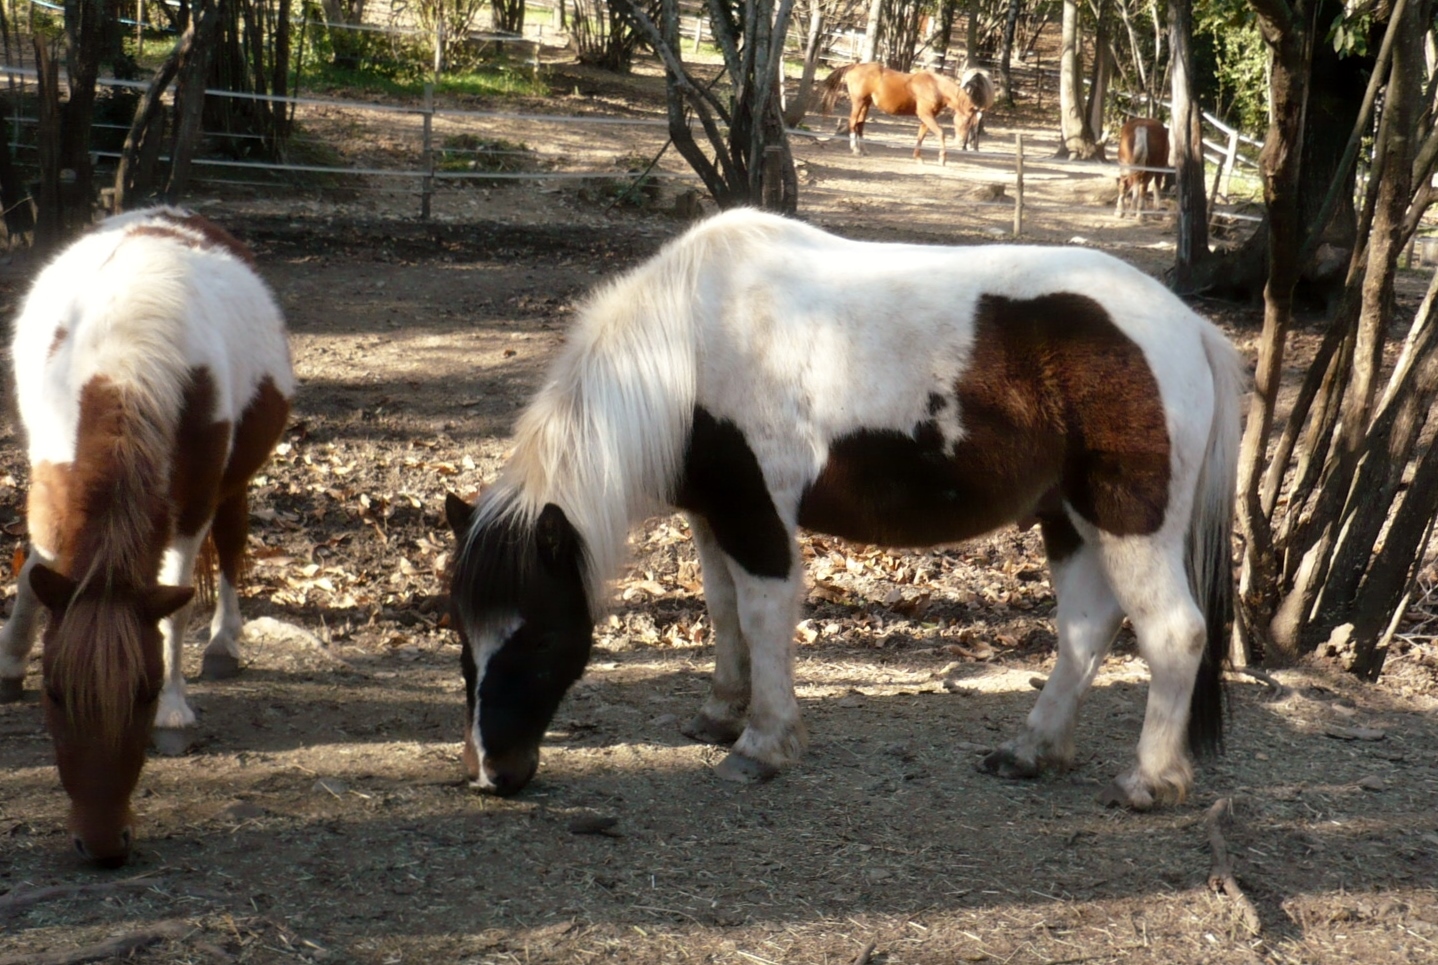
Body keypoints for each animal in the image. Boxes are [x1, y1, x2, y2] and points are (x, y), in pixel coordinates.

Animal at [0, 207, 294, 866]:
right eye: (55, 693)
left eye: (144, 691)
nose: (103, 844)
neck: (122, 371)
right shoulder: (51, 482)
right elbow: (36, 571)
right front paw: (9, 662)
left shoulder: (192, 505)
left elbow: (174, 606)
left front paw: (174, 712)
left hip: (234, 480)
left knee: (231, 544)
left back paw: (224, 644)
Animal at [447, 208, 1246, 811]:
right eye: (463, 638)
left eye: (541, 637)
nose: (492, 773)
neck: (692, 342)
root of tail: (1190, 327)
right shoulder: (713, 513)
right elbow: (723, 610)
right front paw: (720, 714)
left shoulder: (758, 514)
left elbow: (764, 615)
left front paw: (762, 745)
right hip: (1070, 518)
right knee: (1086, 626)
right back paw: (1030, 750)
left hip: (1128, 523)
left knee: (1173, 633)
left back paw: (1148, 781)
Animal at [818, 62, 985, 165]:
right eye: (967, 121)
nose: (960, 140)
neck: (935, 86)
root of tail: (855, 66)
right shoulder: (926, 115)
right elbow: (940, 133)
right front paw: (942, 159)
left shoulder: (926, 118)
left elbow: (920, 136)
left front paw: (918, 158)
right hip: (858, 102)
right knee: (853, 122)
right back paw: (855, 150)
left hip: (866, 103)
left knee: (860, 124)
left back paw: (864, 149)